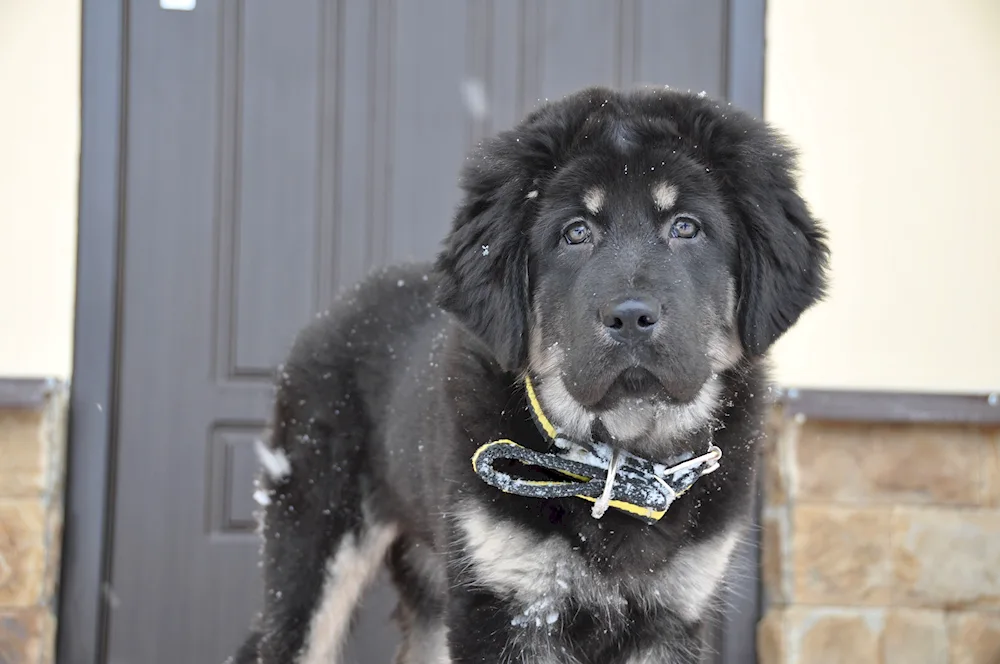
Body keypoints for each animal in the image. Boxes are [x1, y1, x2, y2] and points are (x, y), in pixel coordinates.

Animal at [229, 85, 828, 660]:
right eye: (576, 233)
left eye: (686, 227)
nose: (630, 317)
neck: (620, 463)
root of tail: (333, 311)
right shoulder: (505, 603)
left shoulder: (673, 609)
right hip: (316, 544)